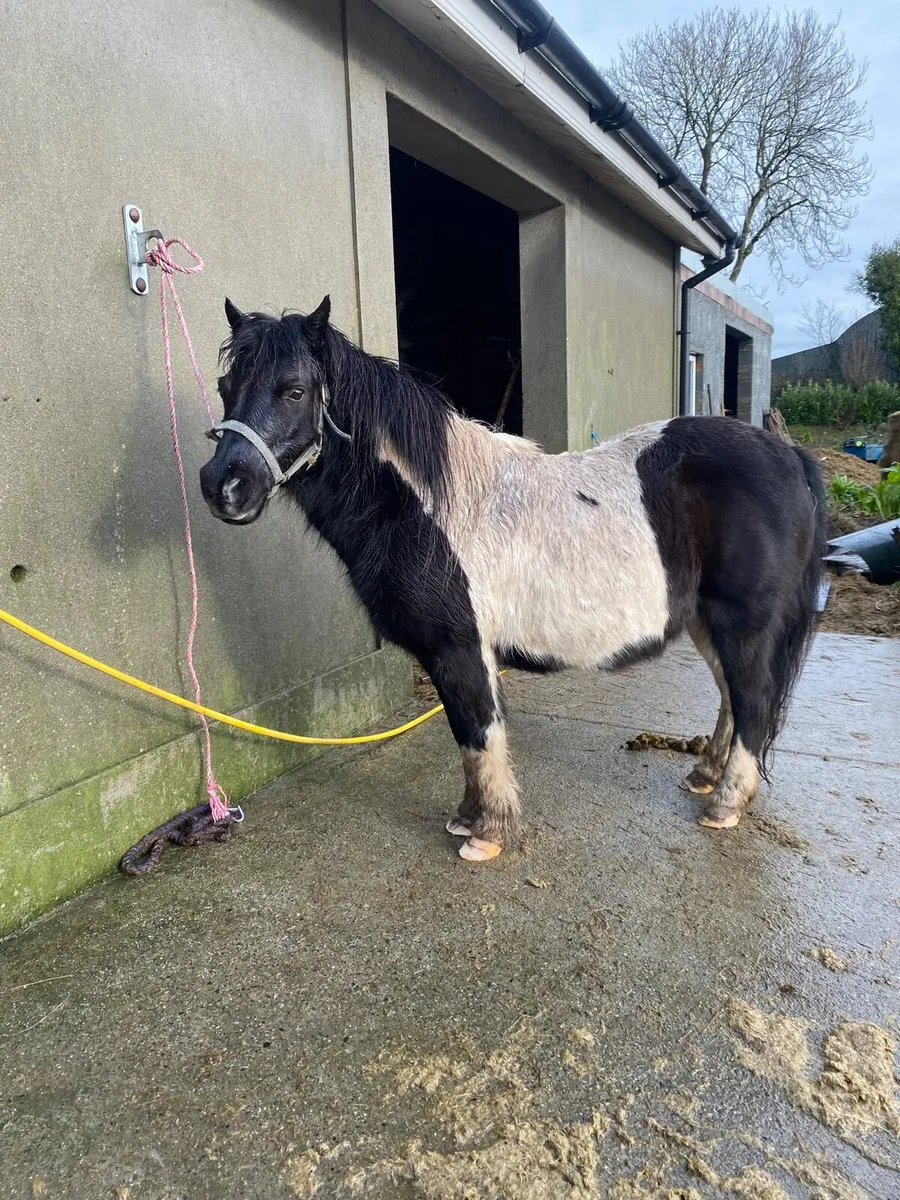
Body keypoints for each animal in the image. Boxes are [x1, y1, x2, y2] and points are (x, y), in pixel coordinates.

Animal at [199, 297, 826, 863]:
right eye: (227, 385)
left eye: (295, 390)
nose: (223, 486)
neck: (427, 506)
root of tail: (788, 455)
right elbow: (465, 736)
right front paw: (466, 816)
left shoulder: (459, 649)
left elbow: (479, 734)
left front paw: (489, 833)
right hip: (707, 622)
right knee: (732, 697)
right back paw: (704, 775)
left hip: (743, 626)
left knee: (753, 702)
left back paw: (724, 804)